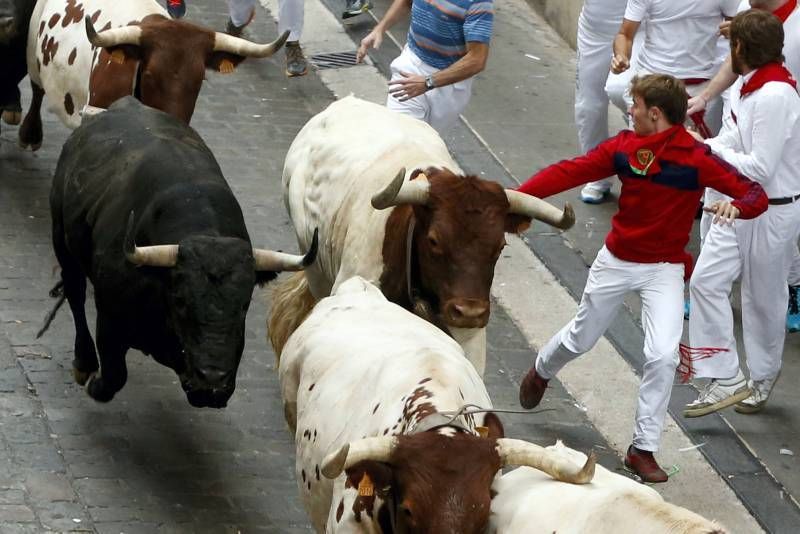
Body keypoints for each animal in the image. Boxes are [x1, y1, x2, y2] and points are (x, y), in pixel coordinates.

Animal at [45, 96, 316, 408]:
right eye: (181, 301)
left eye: (244, 305)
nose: (212, 381)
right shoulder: (110, 316)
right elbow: (115, 374)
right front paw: (96, 382)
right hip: (61, 238)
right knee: (75, 292)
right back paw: (84, 362)